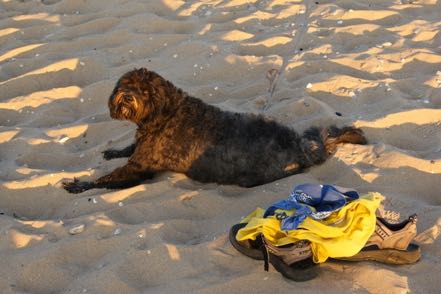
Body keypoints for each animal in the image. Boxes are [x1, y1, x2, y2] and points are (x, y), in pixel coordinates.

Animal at [61, 68, 364, 194]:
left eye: (145, 91)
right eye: (125, 83)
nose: (125, 96)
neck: (164, 114)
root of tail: (300, 146)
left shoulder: (140, 167)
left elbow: (107, 178)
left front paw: (79, 185)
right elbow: (127, 148)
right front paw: (113, 151)